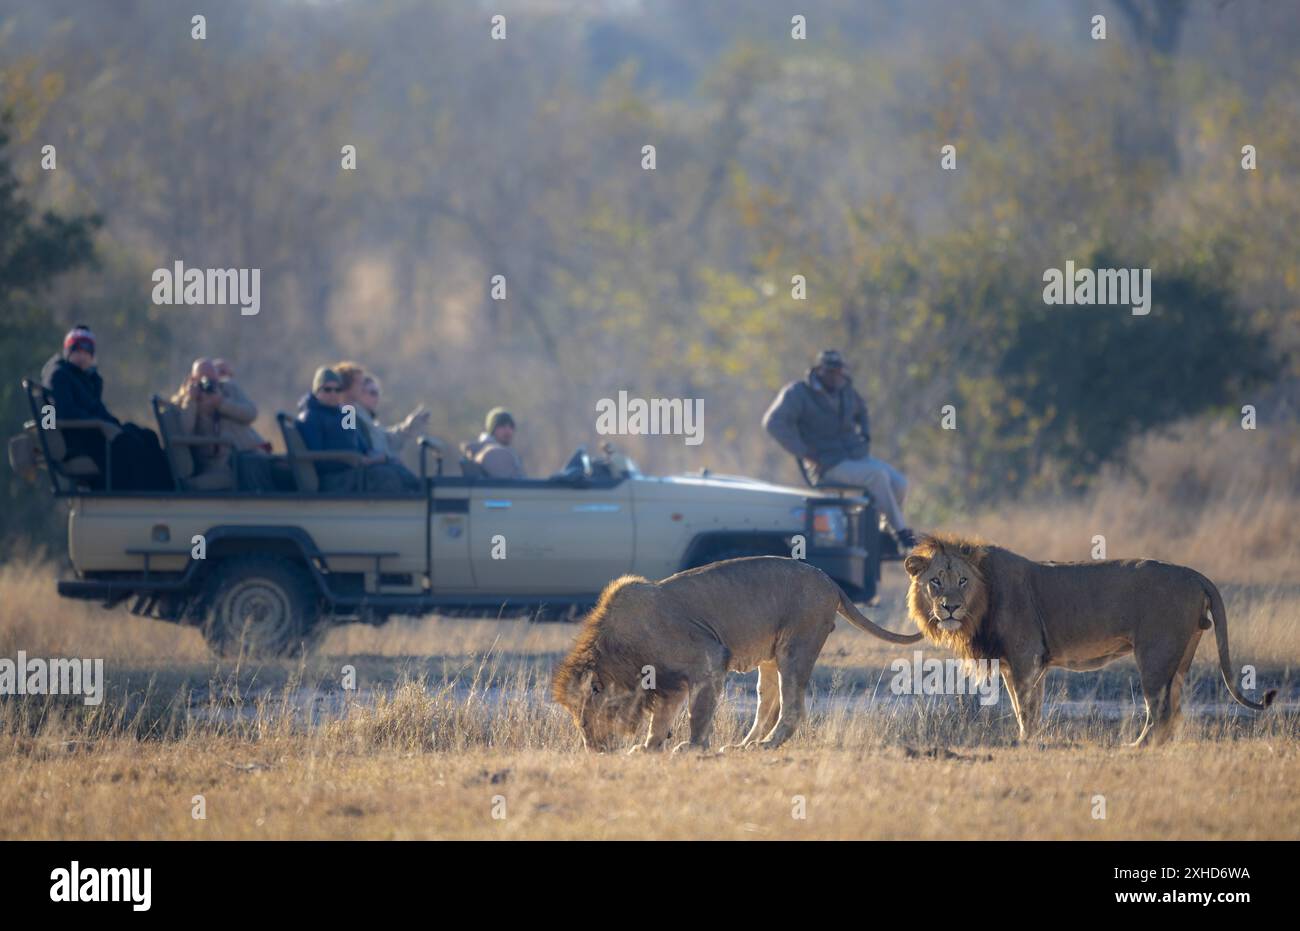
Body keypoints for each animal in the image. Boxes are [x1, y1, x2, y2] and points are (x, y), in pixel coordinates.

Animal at [552, 556, 923, 753]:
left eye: (585, 718)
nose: (593, 750)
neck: (621, 648)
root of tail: (830, 581)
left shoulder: (709, 657)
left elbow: (698, 713)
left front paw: (693, 747)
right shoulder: (669, 682)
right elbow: (662, 718)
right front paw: (648, 748)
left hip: (796, 647)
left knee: (793, 708)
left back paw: (767, 745)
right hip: (771, 658)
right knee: (767, 705)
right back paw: (743, 746)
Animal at [903, 534, 1277, 745]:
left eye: (962, 580)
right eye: (936, 581)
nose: (950, 608)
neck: (984, 597)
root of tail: (1196, 574)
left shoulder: (1026, 657)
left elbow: (1024, 707)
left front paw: (1024, 742)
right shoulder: (1019, 663)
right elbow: (1027, 708)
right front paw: (1030, 739)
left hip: (1155, 655)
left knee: (1159, 710)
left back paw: (1136, 748)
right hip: (1181, 656)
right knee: (1173, 711)